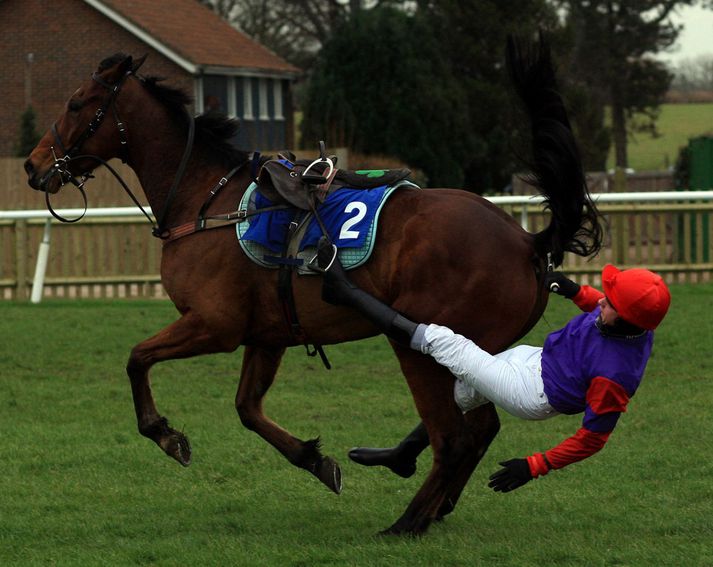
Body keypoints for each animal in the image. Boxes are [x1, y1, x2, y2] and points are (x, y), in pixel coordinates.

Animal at [23, 36, 600, 536]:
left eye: (76, 103)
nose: (32, 165)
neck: (207, 202)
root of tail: (526, 240)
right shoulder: (267, 335)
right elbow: (247, 409)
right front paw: (315, 459)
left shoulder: (214, 325)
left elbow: (137, 359)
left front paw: (166, 435)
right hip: (474, 350)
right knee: (477, 430)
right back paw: (428, 505)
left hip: (423, 345)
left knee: (455, 436)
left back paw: (408, 521)